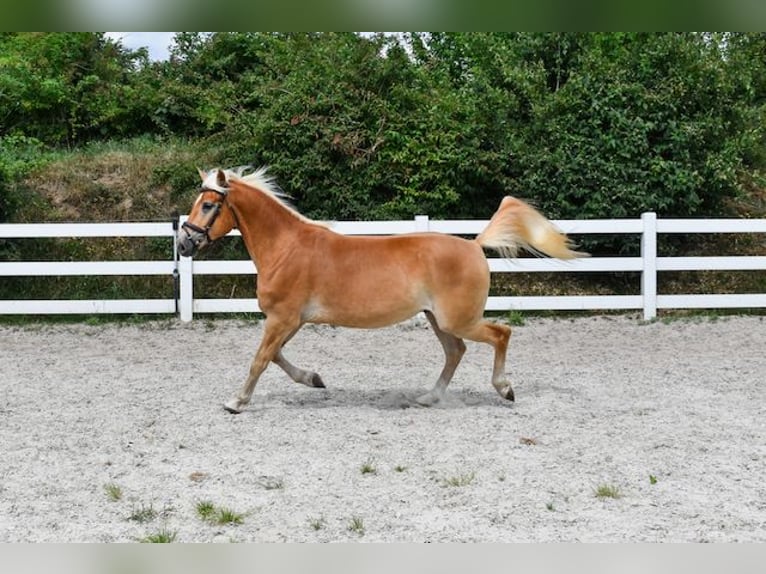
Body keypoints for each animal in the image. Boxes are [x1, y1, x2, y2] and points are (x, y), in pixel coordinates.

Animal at [176, 166, 584, 413]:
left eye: (208, 205)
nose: (183, 244)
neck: (287, 247)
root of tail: (473, 245)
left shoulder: (282, 318)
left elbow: (260, 358)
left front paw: (236, 401)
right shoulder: (290, 321)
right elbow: (275, 356)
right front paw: (314, 379)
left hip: (458, 319)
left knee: (501, 333)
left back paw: (504, 389)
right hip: (438, 319)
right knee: (456, 351)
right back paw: (429, 397)